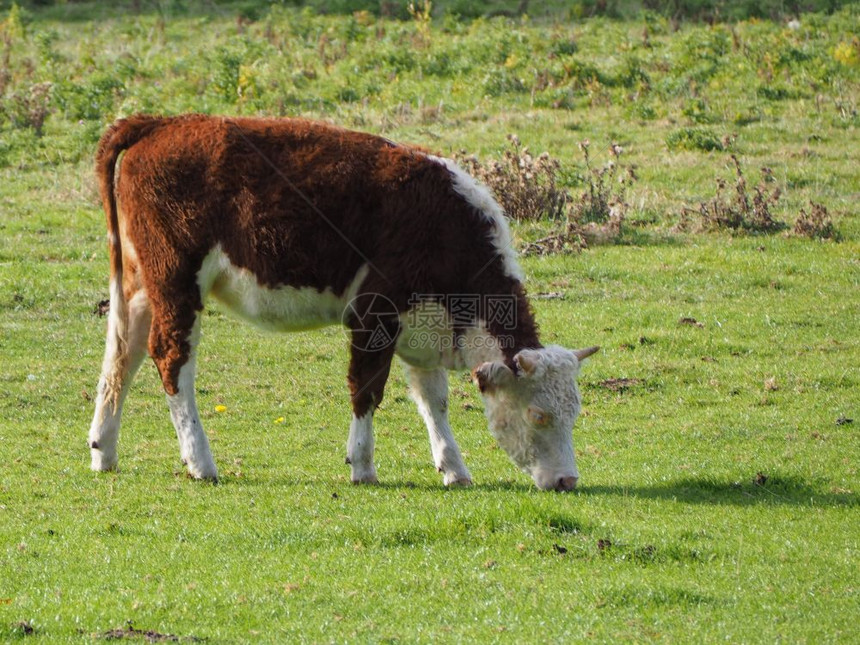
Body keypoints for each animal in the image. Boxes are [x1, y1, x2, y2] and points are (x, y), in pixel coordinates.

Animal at [89, 113, 596, 490]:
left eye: (575, 412)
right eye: (538, 415)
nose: (567, 480)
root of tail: (165, 122)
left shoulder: (423, 325)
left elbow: (433, 400)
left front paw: (454, 469)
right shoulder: (373, 314)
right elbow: (366, 389)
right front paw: (363, 466)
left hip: (141, 285)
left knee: (122, 354)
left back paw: (104, 451)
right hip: (178, 280)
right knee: (171, 357)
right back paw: (200, 461)